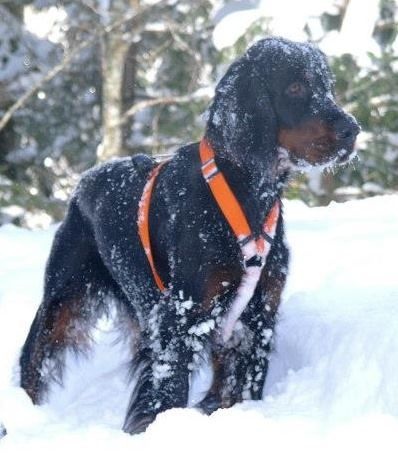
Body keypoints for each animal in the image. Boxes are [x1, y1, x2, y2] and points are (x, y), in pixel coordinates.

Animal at [19, 37, 360, 432]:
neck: (244, 193)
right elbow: (167, 388)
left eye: (327, 87)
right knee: (34, 358)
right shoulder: (184, 314)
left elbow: (241, 387)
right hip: (63, 297)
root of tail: (85, 180)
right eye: (295, 87)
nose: (353, 129)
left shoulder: (259, 314)